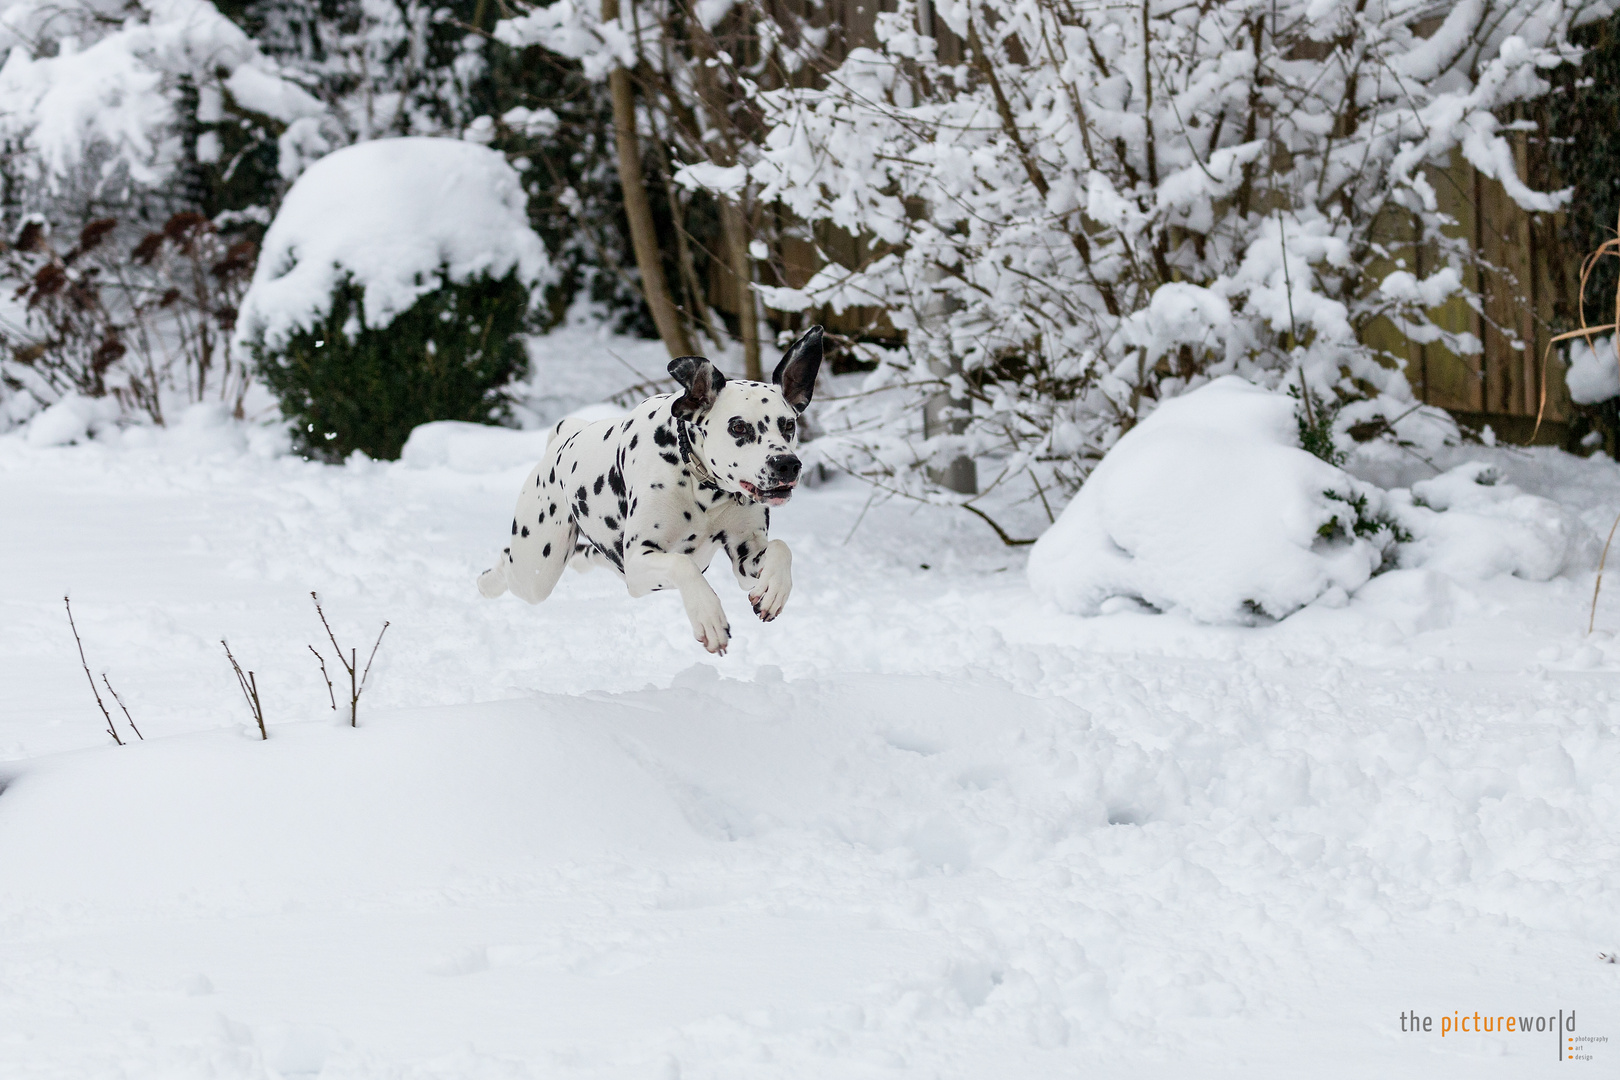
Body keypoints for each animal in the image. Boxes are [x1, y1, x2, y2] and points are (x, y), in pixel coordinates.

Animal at [469, 325, 822, 654]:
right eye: (738, 427)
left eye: (788, 425)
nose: (787, 464)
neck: (703, 488)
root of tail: (563, 436)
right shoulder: (640, 559)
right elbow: (682, 565)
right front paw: (708, 617)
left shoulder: (745, 559)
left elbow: (781, 548)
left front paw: (775, 590)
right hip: (539, 567)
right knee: (510, 563)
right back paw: (487, 583)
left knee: (588, 556)